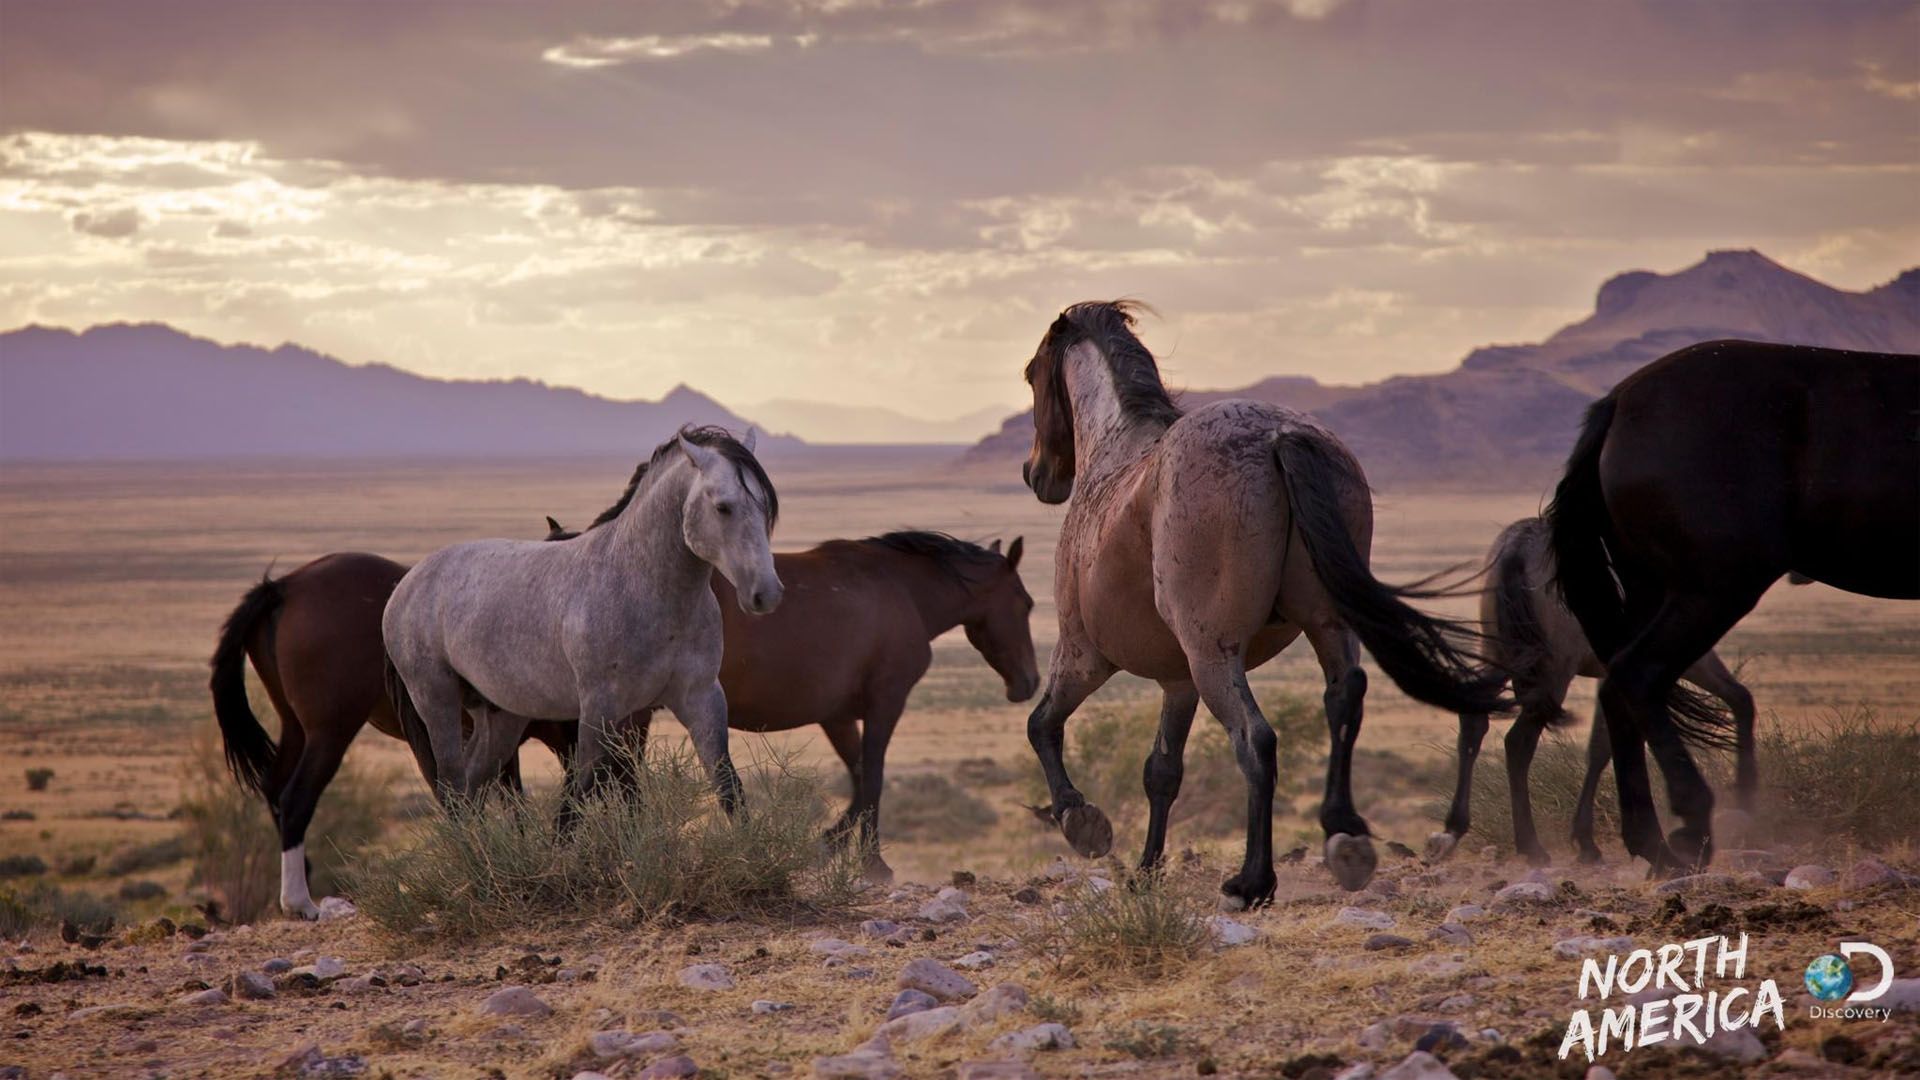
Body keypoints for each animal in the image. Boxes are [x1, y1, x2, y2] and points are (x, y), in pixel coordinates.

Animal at [382, 424, 779, 810]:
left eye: (765, 506)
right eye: (723, 507)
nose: (766, 593)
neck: (642, 587)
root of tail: (407, 583)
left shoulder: (701, 698)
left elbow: (729, 790)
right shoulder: (598, 708)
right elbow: (577, 800)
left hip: (501, 716)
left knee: (470, 787)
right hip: (437, 700)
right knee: (453, 788)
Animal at [1013, 295, 1505, 899]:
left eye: (1032, 374)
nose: (1036, 475)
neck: (1115, 450)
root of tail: (1279, 437)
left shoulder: (1084, 654)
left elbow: (1043, 725)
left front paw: (1081, 820)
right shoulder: (1177, 681)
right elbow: (1161, 772)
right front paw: (1148, 868)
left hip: (1214, 656)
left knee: (1256, 740)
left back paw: (1252, 880)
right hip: (1325, 626)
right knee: (1344, 698)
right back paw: (1345, 836)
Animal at [1428, 515, 1758, 864]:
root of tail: (1518, 547)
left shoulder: (1612, 673)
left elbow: (1600, 746)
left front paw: (1585, 840)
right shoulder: (1680, 656)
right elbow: (1740, 699)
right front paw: (1747, 798)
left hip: (1500, 656)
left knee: (1473, 720)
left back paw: (1453, 830)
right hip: (1553, 672)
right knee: (1518, 742)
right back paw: (1531, 846)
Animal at [1551, 340, 1912, 868]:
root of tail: (1618, 402)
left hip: (1650, 588)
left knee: (1620, 690)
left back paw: (1651, 842)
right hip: (1717, 586)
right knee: (1639, 674)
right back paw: (1691, 826)